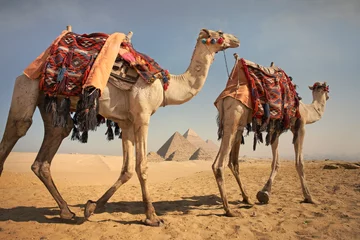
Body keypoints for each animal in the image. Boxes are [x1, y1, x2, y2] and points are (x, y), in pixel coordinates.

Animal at [0, 28, 242, 225]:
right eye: (219, 33)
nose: (236, 39)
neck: (166, 85)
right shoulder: (143, 116)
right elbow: (142, 166)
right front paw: (152, 217)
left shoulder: (126, 123)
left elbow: (127, 170)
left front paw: (91, 207)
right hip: (27, 85)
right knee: (19, 126)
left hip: (52, 103)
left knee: (52, 143)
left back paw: (67, 211)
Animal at [214, 62, 330, 216]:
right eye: (326, 88)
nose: (328, 96)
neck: (307, 110)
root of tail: (223, 98)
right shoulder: (300, 126)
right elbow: (299, 162)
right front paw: (309, 197)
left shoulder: (275, 130)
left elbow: (276, 162)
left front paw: (264, 192)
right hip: (234, 117)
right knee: (219, 165)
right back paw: (229, 210)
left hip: (236, 125)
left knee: (230, 162)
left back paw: (247, 199)